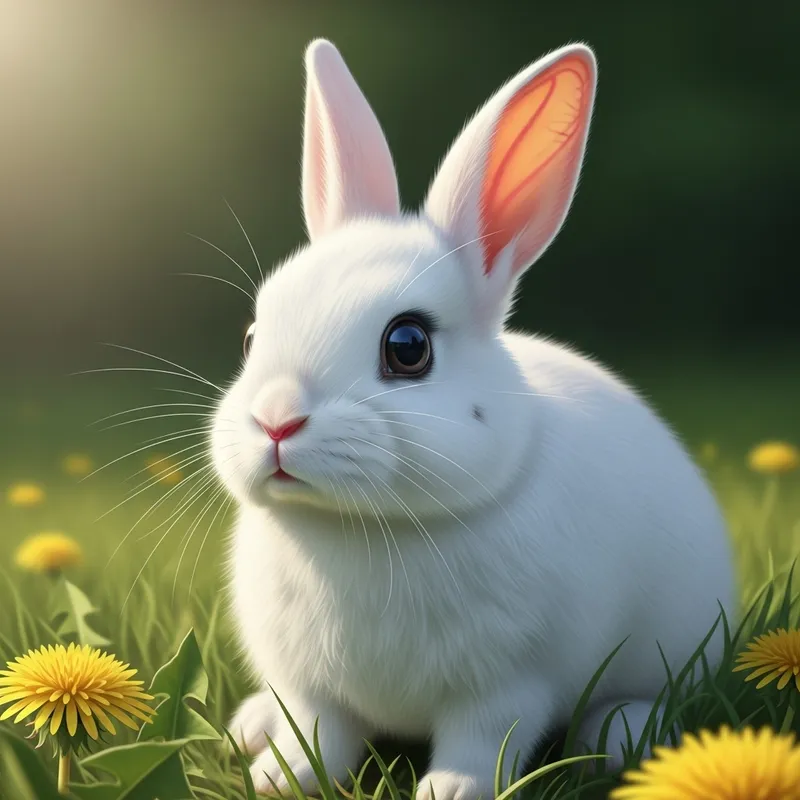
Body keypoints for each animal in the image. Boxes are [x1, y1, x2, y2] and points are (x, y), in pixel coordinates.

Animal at [211, 38, 736, 800]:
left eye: (408, 346)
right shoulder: (312, 686)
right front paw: (281, 777)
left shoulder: (507, 684)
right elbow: (320, 734)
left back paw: (622, 735)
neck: (362, 530)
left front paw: (450, 790)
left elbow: (482, 740)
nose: (277, 422)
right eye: (252, 339)